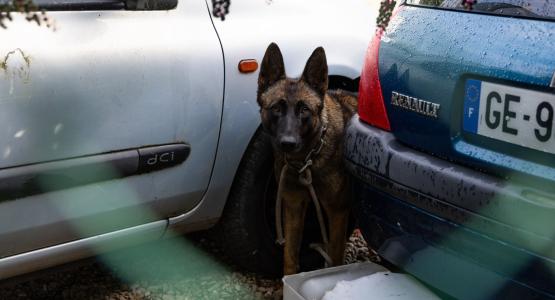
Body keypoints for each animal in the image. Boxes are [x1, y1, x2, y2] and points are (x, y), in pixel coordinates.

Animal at [258, 43, 358, 276]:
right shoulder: (293, 206)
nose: (288, 143)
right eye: (276, 108)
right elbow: (290, 257)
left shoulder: (337, 212)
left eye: (304, 110)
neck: (307, 161)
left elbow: (335, 258)